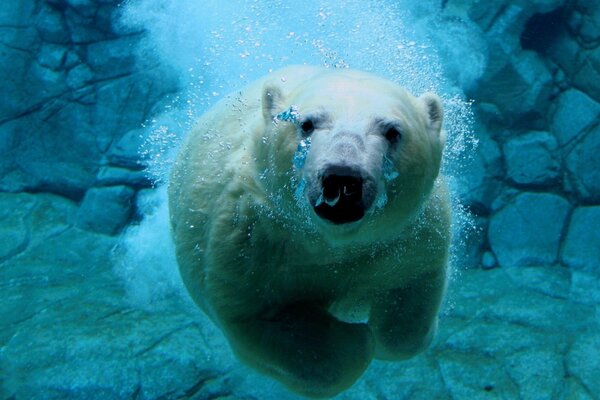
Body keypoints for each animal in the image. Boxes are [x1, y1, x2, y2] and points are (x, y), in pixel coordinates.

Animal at [169, 65, 450, 396]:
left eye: (392, 131)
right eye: (306, 124)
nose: (342, 178)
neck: (329, 242)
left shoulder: (409, 236)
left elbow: (409, 299)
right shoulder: (248, 240)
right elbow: (263, 319)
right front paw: (357, 339)